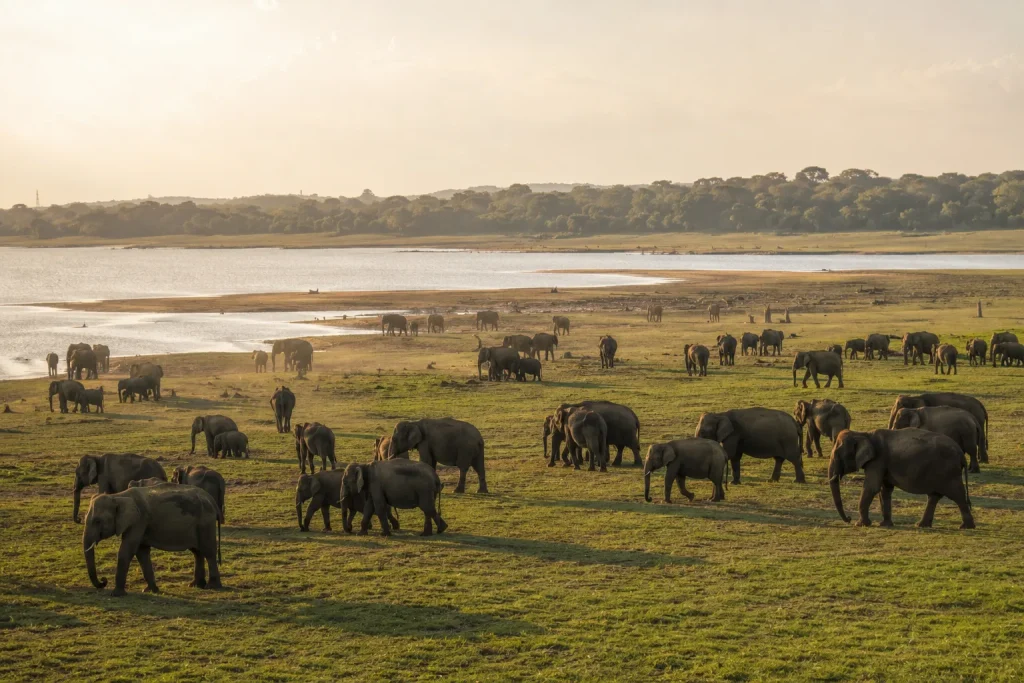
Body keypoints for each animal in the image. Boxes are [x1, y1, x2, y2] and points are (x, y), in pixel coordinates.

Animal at [82, 483, 222, 596]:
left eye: (97, 521)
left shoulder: (139, 520)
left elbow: (127, 551)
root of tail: (211, 499)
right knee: (197, 552)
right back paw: (196, 585)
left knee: (208, 552)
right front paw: (150, 590)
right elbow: (142, 553)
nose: (104, 581)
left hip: (205, 522)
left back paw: (212, 587)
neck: (118, 496)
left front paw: (116, 594)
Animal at [828, 428, 974, 529]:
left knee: (957, 495)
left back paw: (965, 527)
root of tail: (961, 454)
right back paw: (921, 525)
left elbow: (871, 488)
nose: (849, 519)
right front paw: (885, 525)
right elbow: (885, 490)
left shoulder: (878, 461)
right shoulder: (882, 463)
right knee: (934, 496)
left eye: (838, 455)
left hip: (948, 472)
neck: (864, 434)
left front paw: (860, 524)